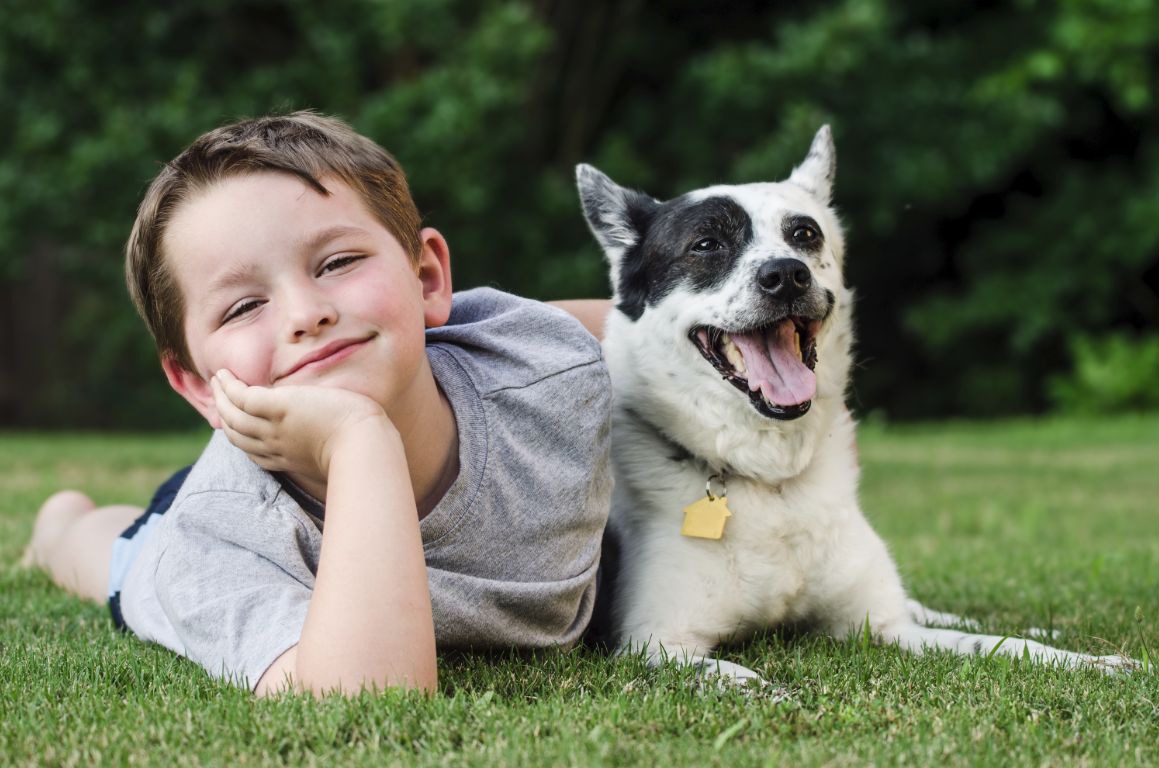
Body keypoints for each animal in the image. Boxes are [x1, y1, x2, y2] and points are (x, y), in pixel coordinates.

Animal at [574, 126, 1135, 685]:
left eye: (804, 234)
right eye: (706, 244)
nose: (787, 275)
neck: (773, 482)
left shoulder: (884, 626)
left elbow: (999, 645)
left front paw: (1090, 660)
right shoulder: (655, 643)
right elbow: (733, 676)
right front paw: (768, 693)